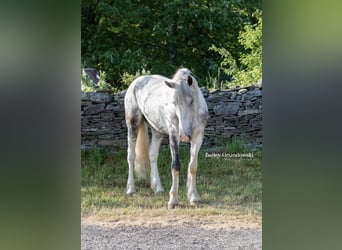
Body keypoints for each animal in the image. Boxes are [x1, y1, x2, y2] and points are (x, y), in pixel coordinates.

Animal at [124, 67, 207, 208]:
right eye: (174, 103)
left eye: (190, 101)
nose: (184, 136)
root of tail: (136, 82)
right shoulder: (174, 135)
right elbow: (175, 166)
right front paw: (173, 200)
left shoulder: (198, 136)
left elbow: (193, 166)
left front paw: (194, 198)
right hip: (132, 124)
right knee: (131, 156)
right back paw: (131, 190)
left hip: (156, 131)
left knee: (152, 155)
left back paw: (157, 188)